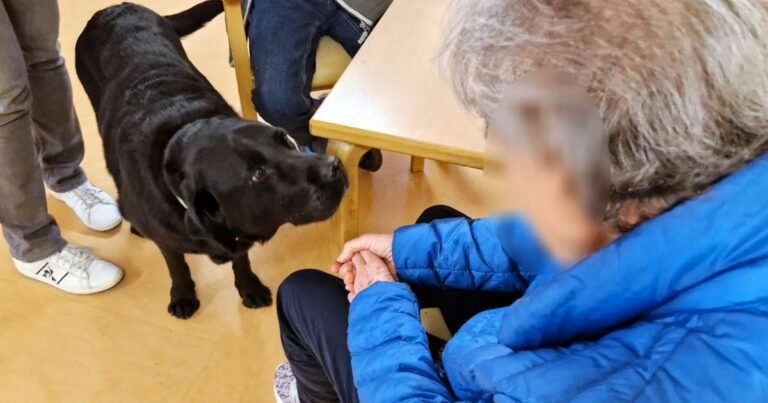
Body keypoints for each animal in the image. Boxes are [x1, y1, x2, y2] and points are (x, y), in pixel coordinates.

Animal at [75, 2, 344, 318]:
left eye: (286, 141)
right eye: (258, 174)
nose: (334, 168)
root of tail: (114, 8)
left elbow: (240, 259)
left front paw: (249, 286)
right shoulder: (167, 238)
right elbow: (176, 265)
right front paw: (183, 295)